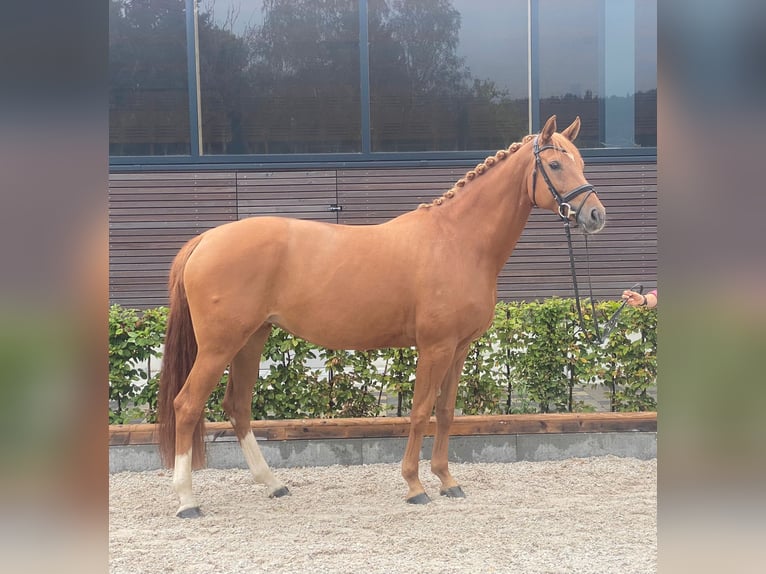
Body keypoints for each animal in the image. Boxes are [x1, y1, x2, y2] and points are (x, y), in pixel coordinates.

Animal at [159, 116, 608, 516]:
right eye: (555, 165)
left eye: (582, 162)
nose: (595, 216)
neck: (457, 241)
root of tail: (206, 239)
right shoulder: (435, 347)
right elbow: (421, 411)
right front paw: (414, 485)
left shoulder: (460, 348)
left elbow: (446, 413)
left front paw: (448, 481)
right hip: (219, 346)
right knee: (187, 404)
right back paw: (186, 500)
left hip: (251, 339)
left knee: (237, 407)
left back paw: (273, 484)